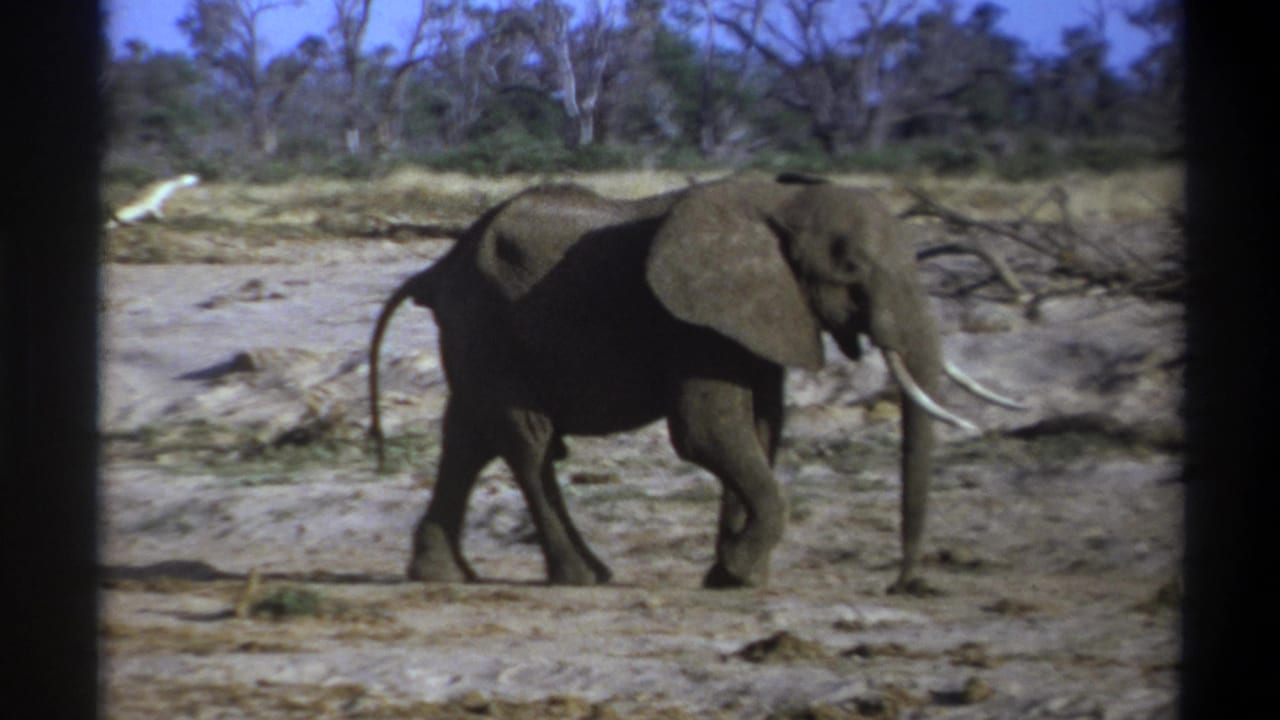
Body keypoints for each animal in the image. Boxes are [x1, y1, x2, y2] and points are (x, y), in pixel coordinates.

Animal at [368, 176, 1022, 593]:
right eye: (852, 271)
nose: (905, 586)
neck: (779, 202)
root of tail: (435, 269)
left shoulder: (756, 319)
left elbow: (761, 428)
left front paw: (731, 576)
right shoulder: (694, 323)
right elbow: (706, 434)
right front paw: (739, 573)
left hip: (479, 338)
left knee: (468, 437)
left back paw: (443, 576)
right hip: (489, 327)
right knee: (526, 442)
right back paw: (582, 577)